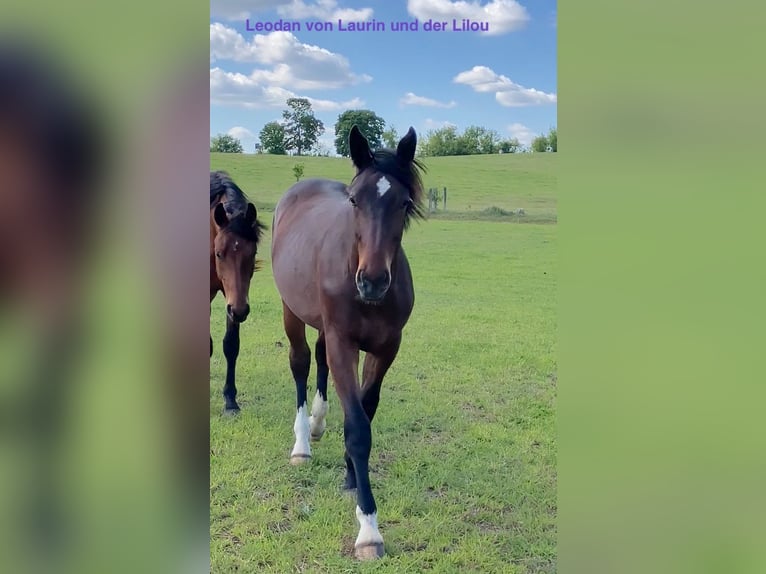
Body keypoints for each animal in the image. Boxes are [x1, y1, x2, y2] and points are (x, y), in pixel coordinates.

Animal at [271, 125, 425, 560]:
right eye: (355, 199)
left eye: (404, 202)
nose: (372, 281)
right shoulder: (345, 342)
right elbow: (358, 427)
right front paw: (369, 529)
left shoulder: (386, 348)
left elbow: (365, 411)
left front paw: (350, 474)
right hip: (292, 311)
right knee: (302, 362)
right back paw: (302, 443)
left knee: (320, 361)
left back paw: (318, 423)